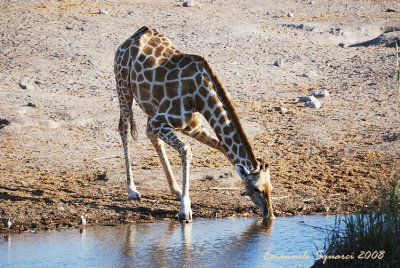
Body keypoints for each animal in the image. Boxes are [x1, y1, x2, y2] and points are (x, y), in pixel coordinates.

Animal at [114, 26, 274, 221]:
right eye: (256, 189)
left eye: (271, 187)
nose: (269, 214)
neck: (200, 97)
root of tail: (131, 38)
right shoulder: (159, 120)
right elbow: (186, 150)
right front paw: (186, 208)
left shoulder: (192, 126)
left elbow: (222, 147)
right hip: (123, 87)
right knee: (124, 128)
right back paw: (132, 190)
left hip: (149, 107)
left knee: (150, 134)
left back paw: (175, 189)